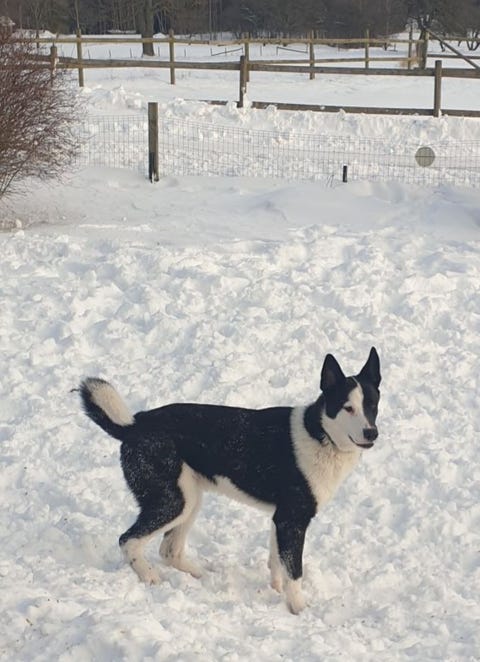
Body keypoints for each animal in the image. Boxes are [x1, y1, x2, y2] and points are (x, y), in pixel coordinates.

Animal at [78, 348, 381, 614]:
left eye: (372, 405)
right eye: (347, 408)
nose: (371, 433)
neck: (320, 434)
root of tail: (132, 426)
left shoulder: (280, 518)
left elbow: (277, 562)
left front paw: (276, 591)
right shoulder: (292, 520)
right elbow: (294, 571)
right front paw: (299, 610)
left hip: (190, 499)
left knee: (169, 549)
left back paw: (200, 574)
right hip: (172, 501)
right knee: (128, 540)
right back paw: (150, 578)